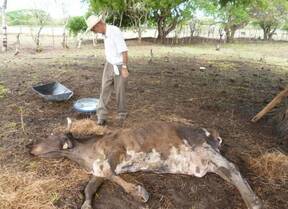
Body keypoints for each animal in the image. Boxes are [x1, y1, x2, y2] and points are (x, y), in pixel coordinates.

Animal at [30, 119, 262, 209]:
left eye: (49, 135)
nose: (28, 144)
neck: (87, 153)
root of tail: (211, 132)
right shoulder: (97, 169)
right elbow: (91, 186)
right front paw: (86, 204)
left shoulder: (116, 150)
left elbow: (109, 172)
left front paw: (138, 192)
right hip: (207, 162)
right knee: (230, 174)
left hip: (203, 147)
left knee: (233, 168)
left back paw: (254, 201)